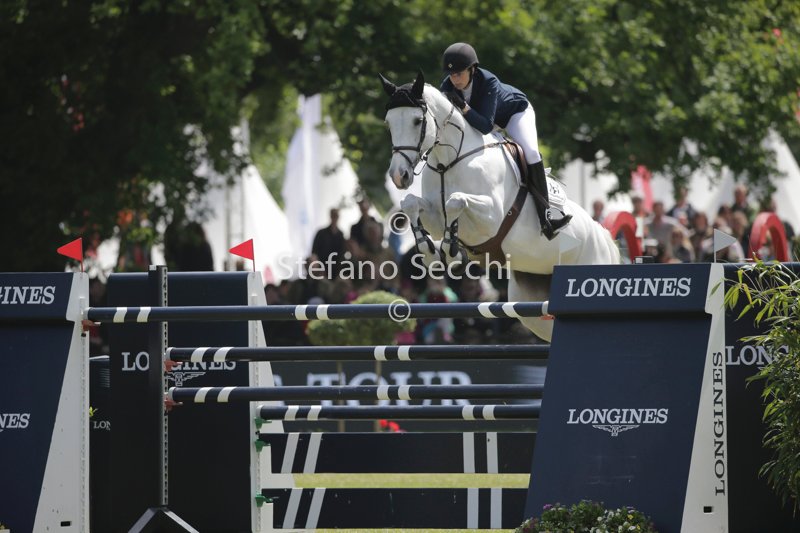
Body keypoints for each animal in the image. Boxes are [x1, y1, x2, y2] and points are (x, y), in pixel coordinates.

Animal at [380, 71, 620, 342]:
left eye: (417, 120)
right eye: (388, 122)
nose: (399, 176)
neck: (448, 162)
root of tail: (603, 236)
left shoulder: (491, 219)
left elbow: (456, 201)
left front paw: (452, 252)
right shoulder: (433, 214)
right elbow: (411, 203)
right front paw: (431, 252)